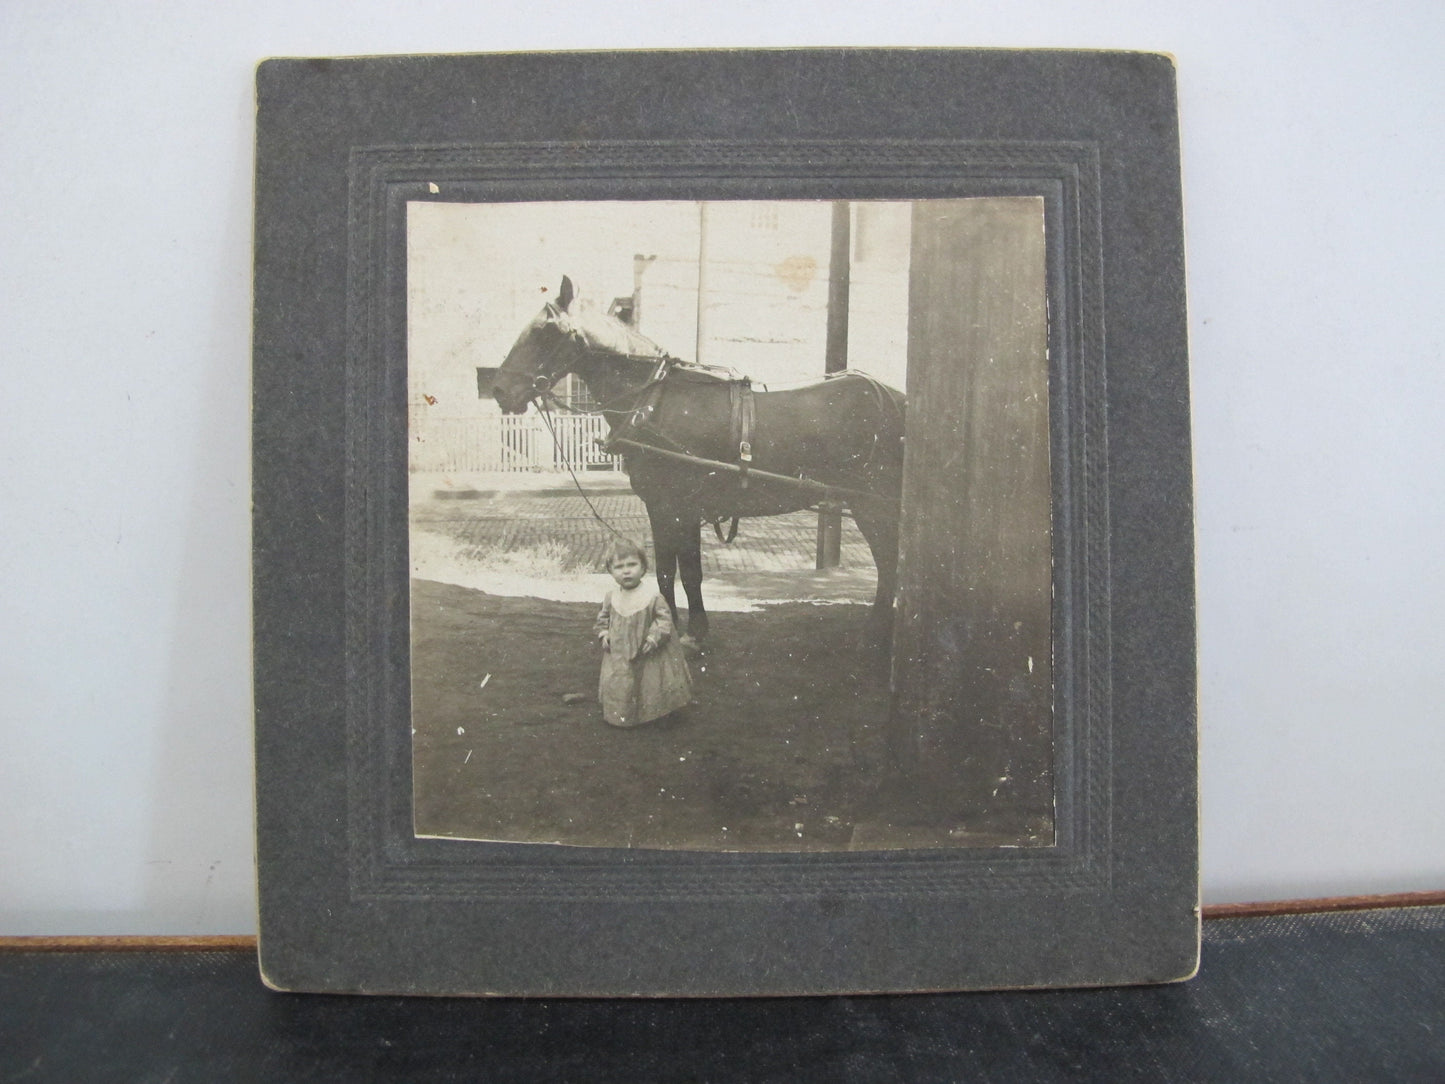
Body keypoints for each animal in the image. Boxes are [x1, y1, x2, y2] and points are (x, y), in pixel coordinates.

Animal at [497, 280, 901, 653]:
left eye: (545, 331)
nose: (502, 391)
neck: (655, 401)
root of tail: (898, 399)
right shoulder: (676, 509)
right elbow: (681, 571)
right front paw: (687, 627)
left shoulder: (674, 507)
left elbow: (677, 571)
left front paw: (682, 631)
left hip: (872, 504)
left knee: (889, 562)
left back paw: (876, 631)